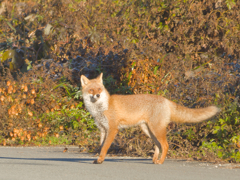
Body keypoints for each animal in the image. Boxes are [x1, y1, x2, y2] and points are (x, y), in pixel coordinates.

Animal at [80, 73, 219, 165]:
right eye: (91, 90)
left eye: (99, 89)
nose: (98, 95)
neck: (101, 108)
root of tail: (165, 99)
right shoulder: (103, 129)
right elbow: (101, 146)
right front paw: (98, 158)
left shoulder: (113, 129)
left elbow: (104, 147)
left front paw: (100, 160)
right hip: (148, 130)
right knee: (158, 145)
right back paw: (155, 159)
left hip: (156, 129)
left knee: (165, 145)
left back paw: (160, 161)